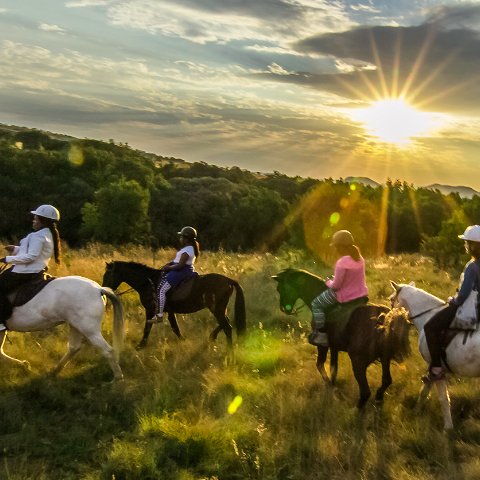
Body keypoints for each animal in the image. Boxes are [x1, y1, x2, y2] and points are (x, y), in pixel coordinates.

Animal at [102, 260, 246, 354]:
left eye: (108, 275)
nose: (103, 291)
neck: (148, 282)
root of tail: (229, 280)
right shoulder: (170, 311)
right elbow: (175, 327)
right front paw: (183, 341)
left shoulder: (150, 310)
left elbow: (147, 327)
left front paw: (140, 346)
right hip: (219, 309)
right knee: (226, 322)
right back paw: (213, 337)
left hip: (217, 309)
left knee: (227, 327)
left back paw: (229, 351)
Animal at [272, 268, 410, 406]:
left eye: (279, 288)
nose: (284, 308)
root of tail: (384, 318)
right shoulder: (334, 346)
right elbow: (334, 368)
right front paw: (333, 387)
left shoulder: (323, 345)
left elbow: (320, 364)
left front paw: (330, 387)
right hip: (385, 357)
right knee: (386, 380)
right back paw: (378, 399)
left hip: (358, 360)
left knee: (365, 391)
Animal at [390, 280, 480, 430]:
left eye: (391, 299)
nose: (385, 317)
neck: (427, 315)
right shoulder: (433, 367)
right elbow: (424, 391)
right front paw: (416, 411)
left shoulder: (436, 367)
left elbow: (443, 398)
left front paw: (448, 427)